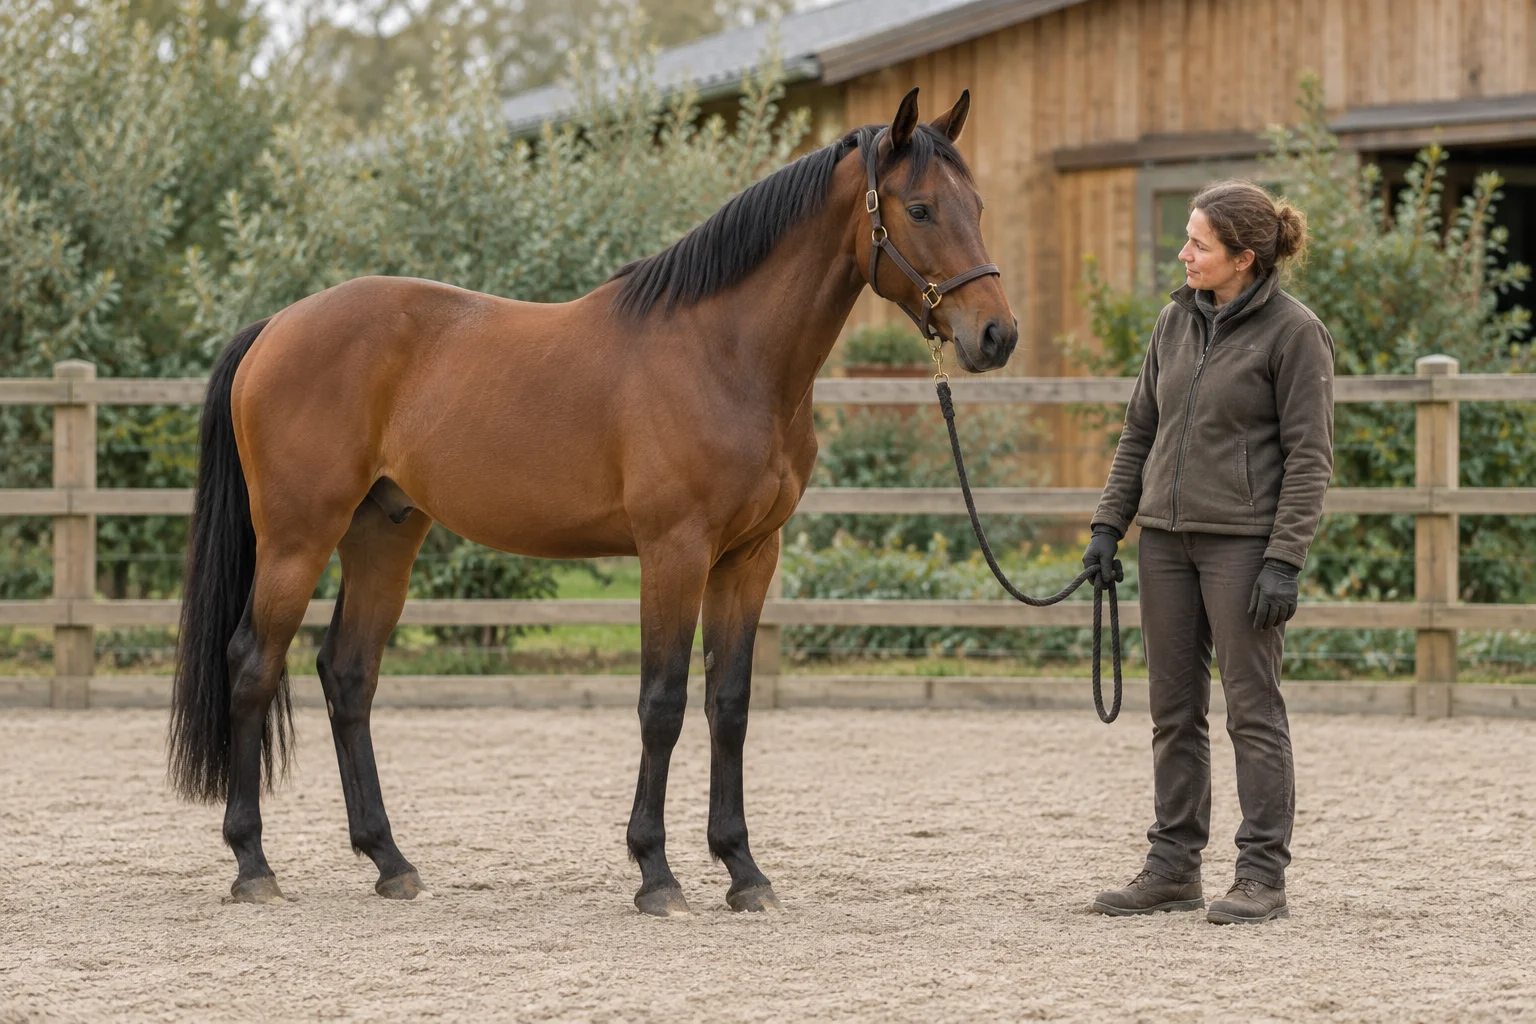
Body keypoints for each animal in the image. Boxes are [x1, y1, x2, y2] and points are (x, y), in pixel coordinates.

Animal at [169, 87, 1018, 916]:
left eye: (979, 205)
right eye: (920, 209)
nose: (997, 335)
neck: (725, 352)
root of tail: (276, 326)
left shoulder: (749, 557)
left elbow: (730, 704)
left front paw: (744, 872)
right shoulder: (674, 552)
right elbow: (662, 703)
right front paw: (657, 874)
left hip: (384, 535)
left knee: (348, 675)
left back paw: (390, 862)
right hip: (297, 539)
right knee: (252, 665)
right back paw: (253, 865)